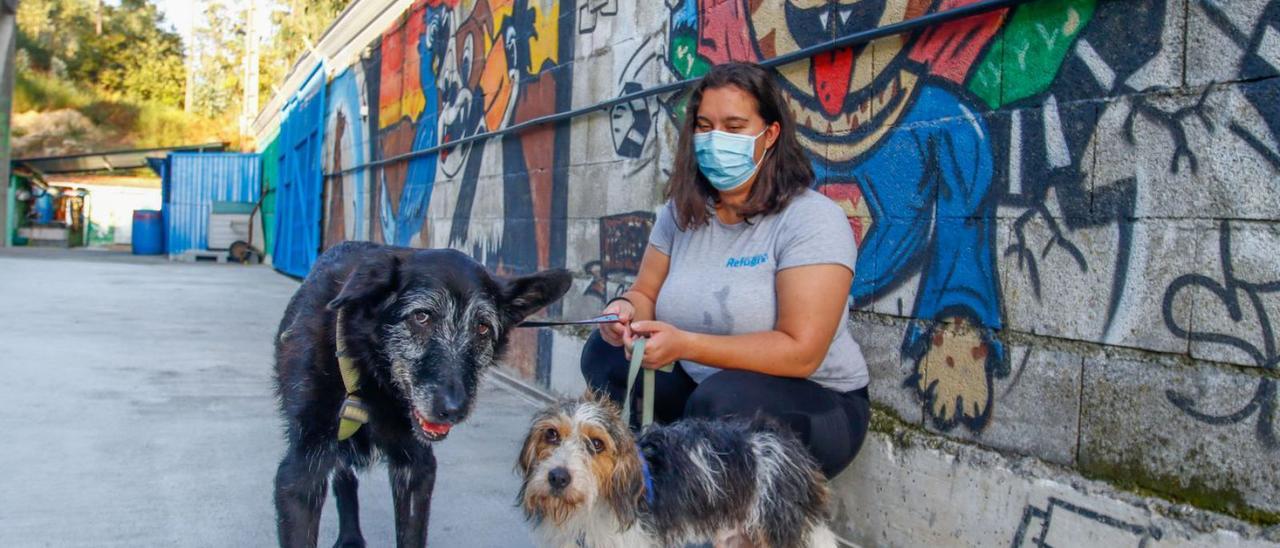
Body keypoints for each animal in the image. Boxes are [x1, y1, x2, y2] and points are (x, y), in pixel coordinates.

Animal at [275, 243, 570, 548]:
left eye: (482, 327)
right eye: (421, 317)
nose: (453, 409)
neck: (371, 378)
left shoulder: (417, 469)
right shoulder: (299, 472)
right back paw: (350, 538)